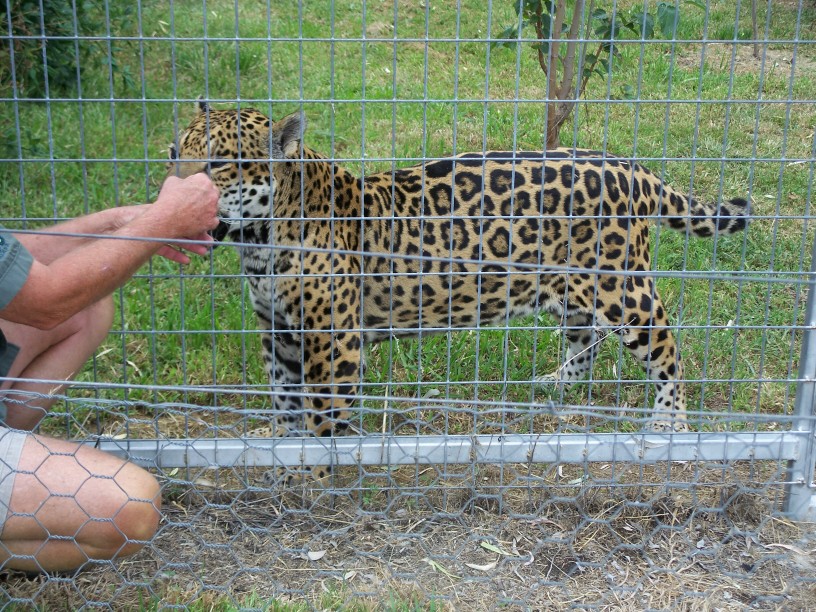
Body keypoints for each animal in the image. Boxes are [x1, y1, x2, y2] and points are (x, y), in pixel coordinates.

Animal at [167, 101, 750, 479]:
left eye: (219, 164)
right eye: (174, 152)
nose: (171, 190)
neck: (260, 243)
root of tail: (634, 168)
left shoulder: (332, 343)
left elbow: (319, 416)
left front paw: (309, 479)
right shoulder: (278, 334)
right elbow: (286, 407)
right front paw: (286, 464)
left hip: (621, 289)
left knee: (667, 347)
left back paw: (669, 423)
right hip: (572, 287)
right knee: (585, 339)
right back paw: (554, 386)